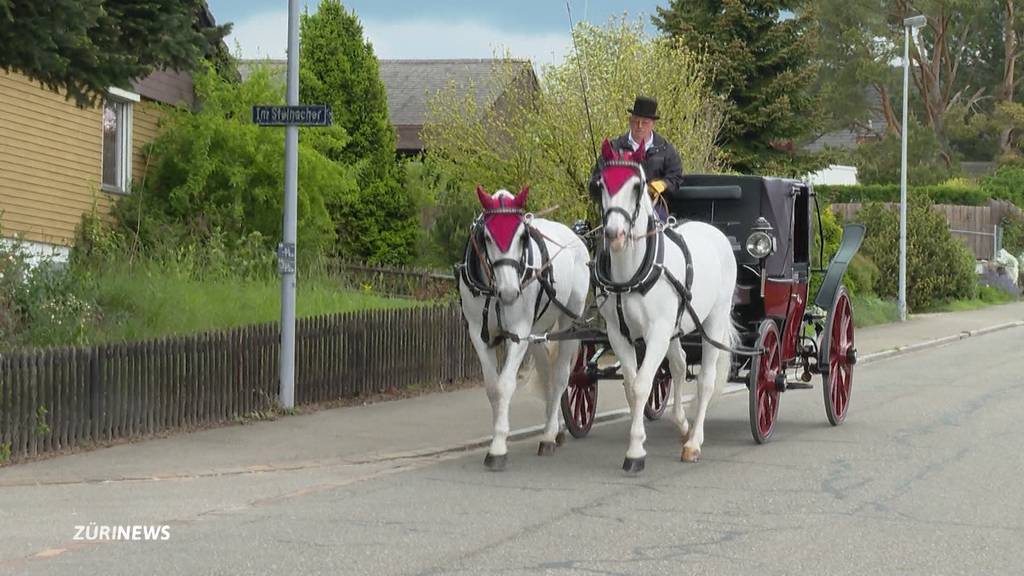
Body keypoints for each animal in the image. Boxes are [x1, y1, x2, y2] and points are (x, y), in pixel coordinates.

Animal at [458, 186, 593, 469]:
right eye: (487, 236)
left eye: (522, 236)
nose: (510, 292)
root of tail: (575, 237)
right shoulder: (478, 333)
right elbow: (492, 387)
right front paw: (498, 435)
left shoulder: (518, 333)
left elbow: (506, 385)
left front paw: (498, 448)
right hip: (538, 331)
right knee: (548, 376)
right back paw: (554, 429)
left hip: (569, 320)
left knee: (561, 376)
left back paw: (549, 435)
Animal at [593, 140, 737, 471]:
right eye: (600, 184)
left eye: (637, 186)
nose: (615, 234)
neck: (631, 272)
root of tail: (717, 233)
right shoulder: (618, 334)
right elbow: (632, 386)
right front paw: (639, 441)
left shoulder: (656, 332)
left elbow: (642, 384)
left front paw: (635, 452)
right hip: (675, 327)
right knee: (681, 365)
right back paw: (683, 425)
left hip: (714, 319)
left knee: (706, 380)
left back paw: (694, 442)